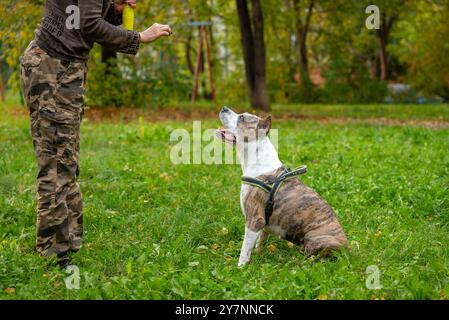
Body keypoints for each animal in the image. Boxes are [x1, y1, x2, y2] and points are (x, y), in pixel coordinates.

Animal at [215, 106, 348, 266]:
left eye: (242, 117)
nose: (224, 108)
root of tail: (348, 250)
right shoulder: (263, 224)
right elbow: (260, 242)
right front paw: (258, 256)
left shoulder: (254, 220)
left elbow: (245, 249)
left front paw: (241, 267)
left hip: (315, 238)